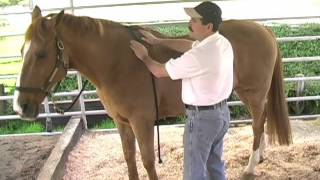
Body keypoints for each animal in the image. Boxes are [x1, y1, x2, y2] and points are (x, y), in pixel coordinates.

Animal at [13, 6, 292, 179]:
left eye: (41, 54)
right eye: (22, 51)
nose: (21, 106)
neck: (116, 61)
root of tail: (264, 29)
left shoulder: (142, 121)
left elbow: (147, 160)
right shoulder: (122, 122)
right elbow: (129, 159)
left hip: (253, 93)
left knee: (257, 123)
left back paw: (251, 166)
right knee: (261, 122)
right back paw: (260, 156)